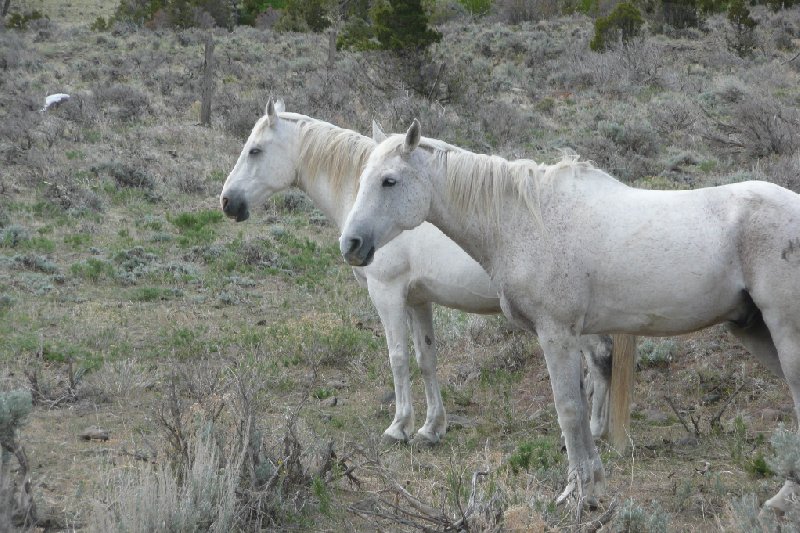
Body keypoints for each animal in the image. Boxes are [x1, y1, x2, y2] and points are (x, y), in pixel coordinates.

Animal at [222, 98, 628, 444]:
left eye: (255, 150)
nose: (227, 202)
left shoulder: (387, 294)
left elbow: (398, 358)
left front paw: (399, 425)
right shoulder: (418, 300)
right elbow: (426, 360)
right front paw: (432, 427)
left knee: (600, 358)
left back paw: (595, 430)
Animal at [340, 117, 800, 512]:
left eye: (389, 180)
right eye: (360, 179)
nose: (351, 244)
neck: (526, 220)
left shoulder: (556, 333)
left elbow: (569, 410)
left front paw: (578, 494)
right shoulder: (571, 336)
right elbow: (580, 406)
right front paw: (590, 486)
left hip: (785, 332)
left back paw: (782, 500)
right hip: (754, 331)